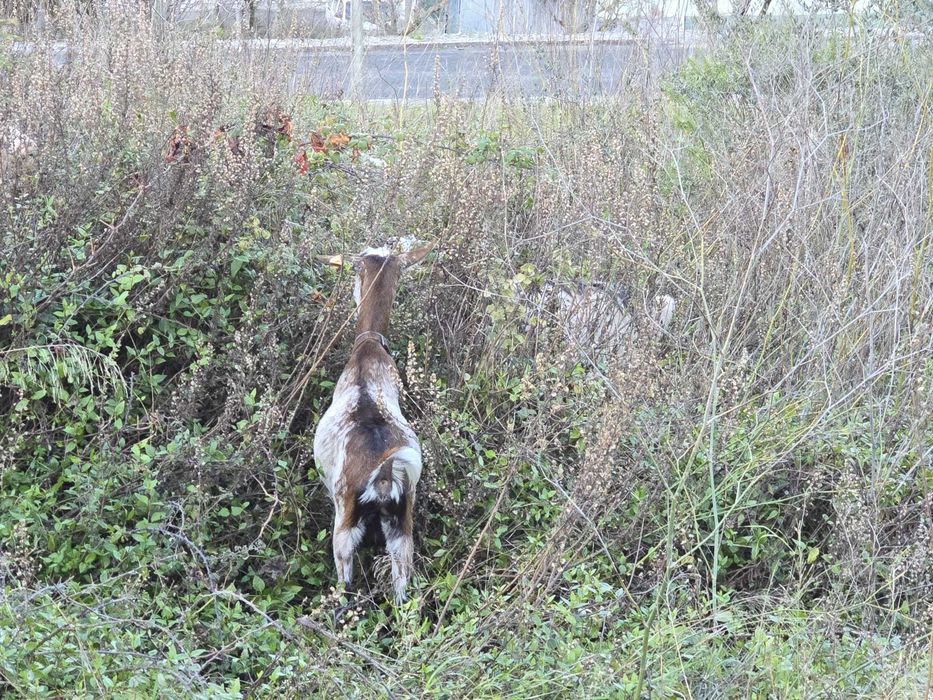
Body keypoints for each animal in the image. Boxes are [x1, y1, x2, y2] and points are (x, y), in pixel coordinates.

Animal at [312, 243, 433, 603]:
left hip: (345, 525)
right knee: (402, 586)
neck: (368, 349)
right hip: (402, 530)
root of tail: (383, 479)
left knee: (345, 581)